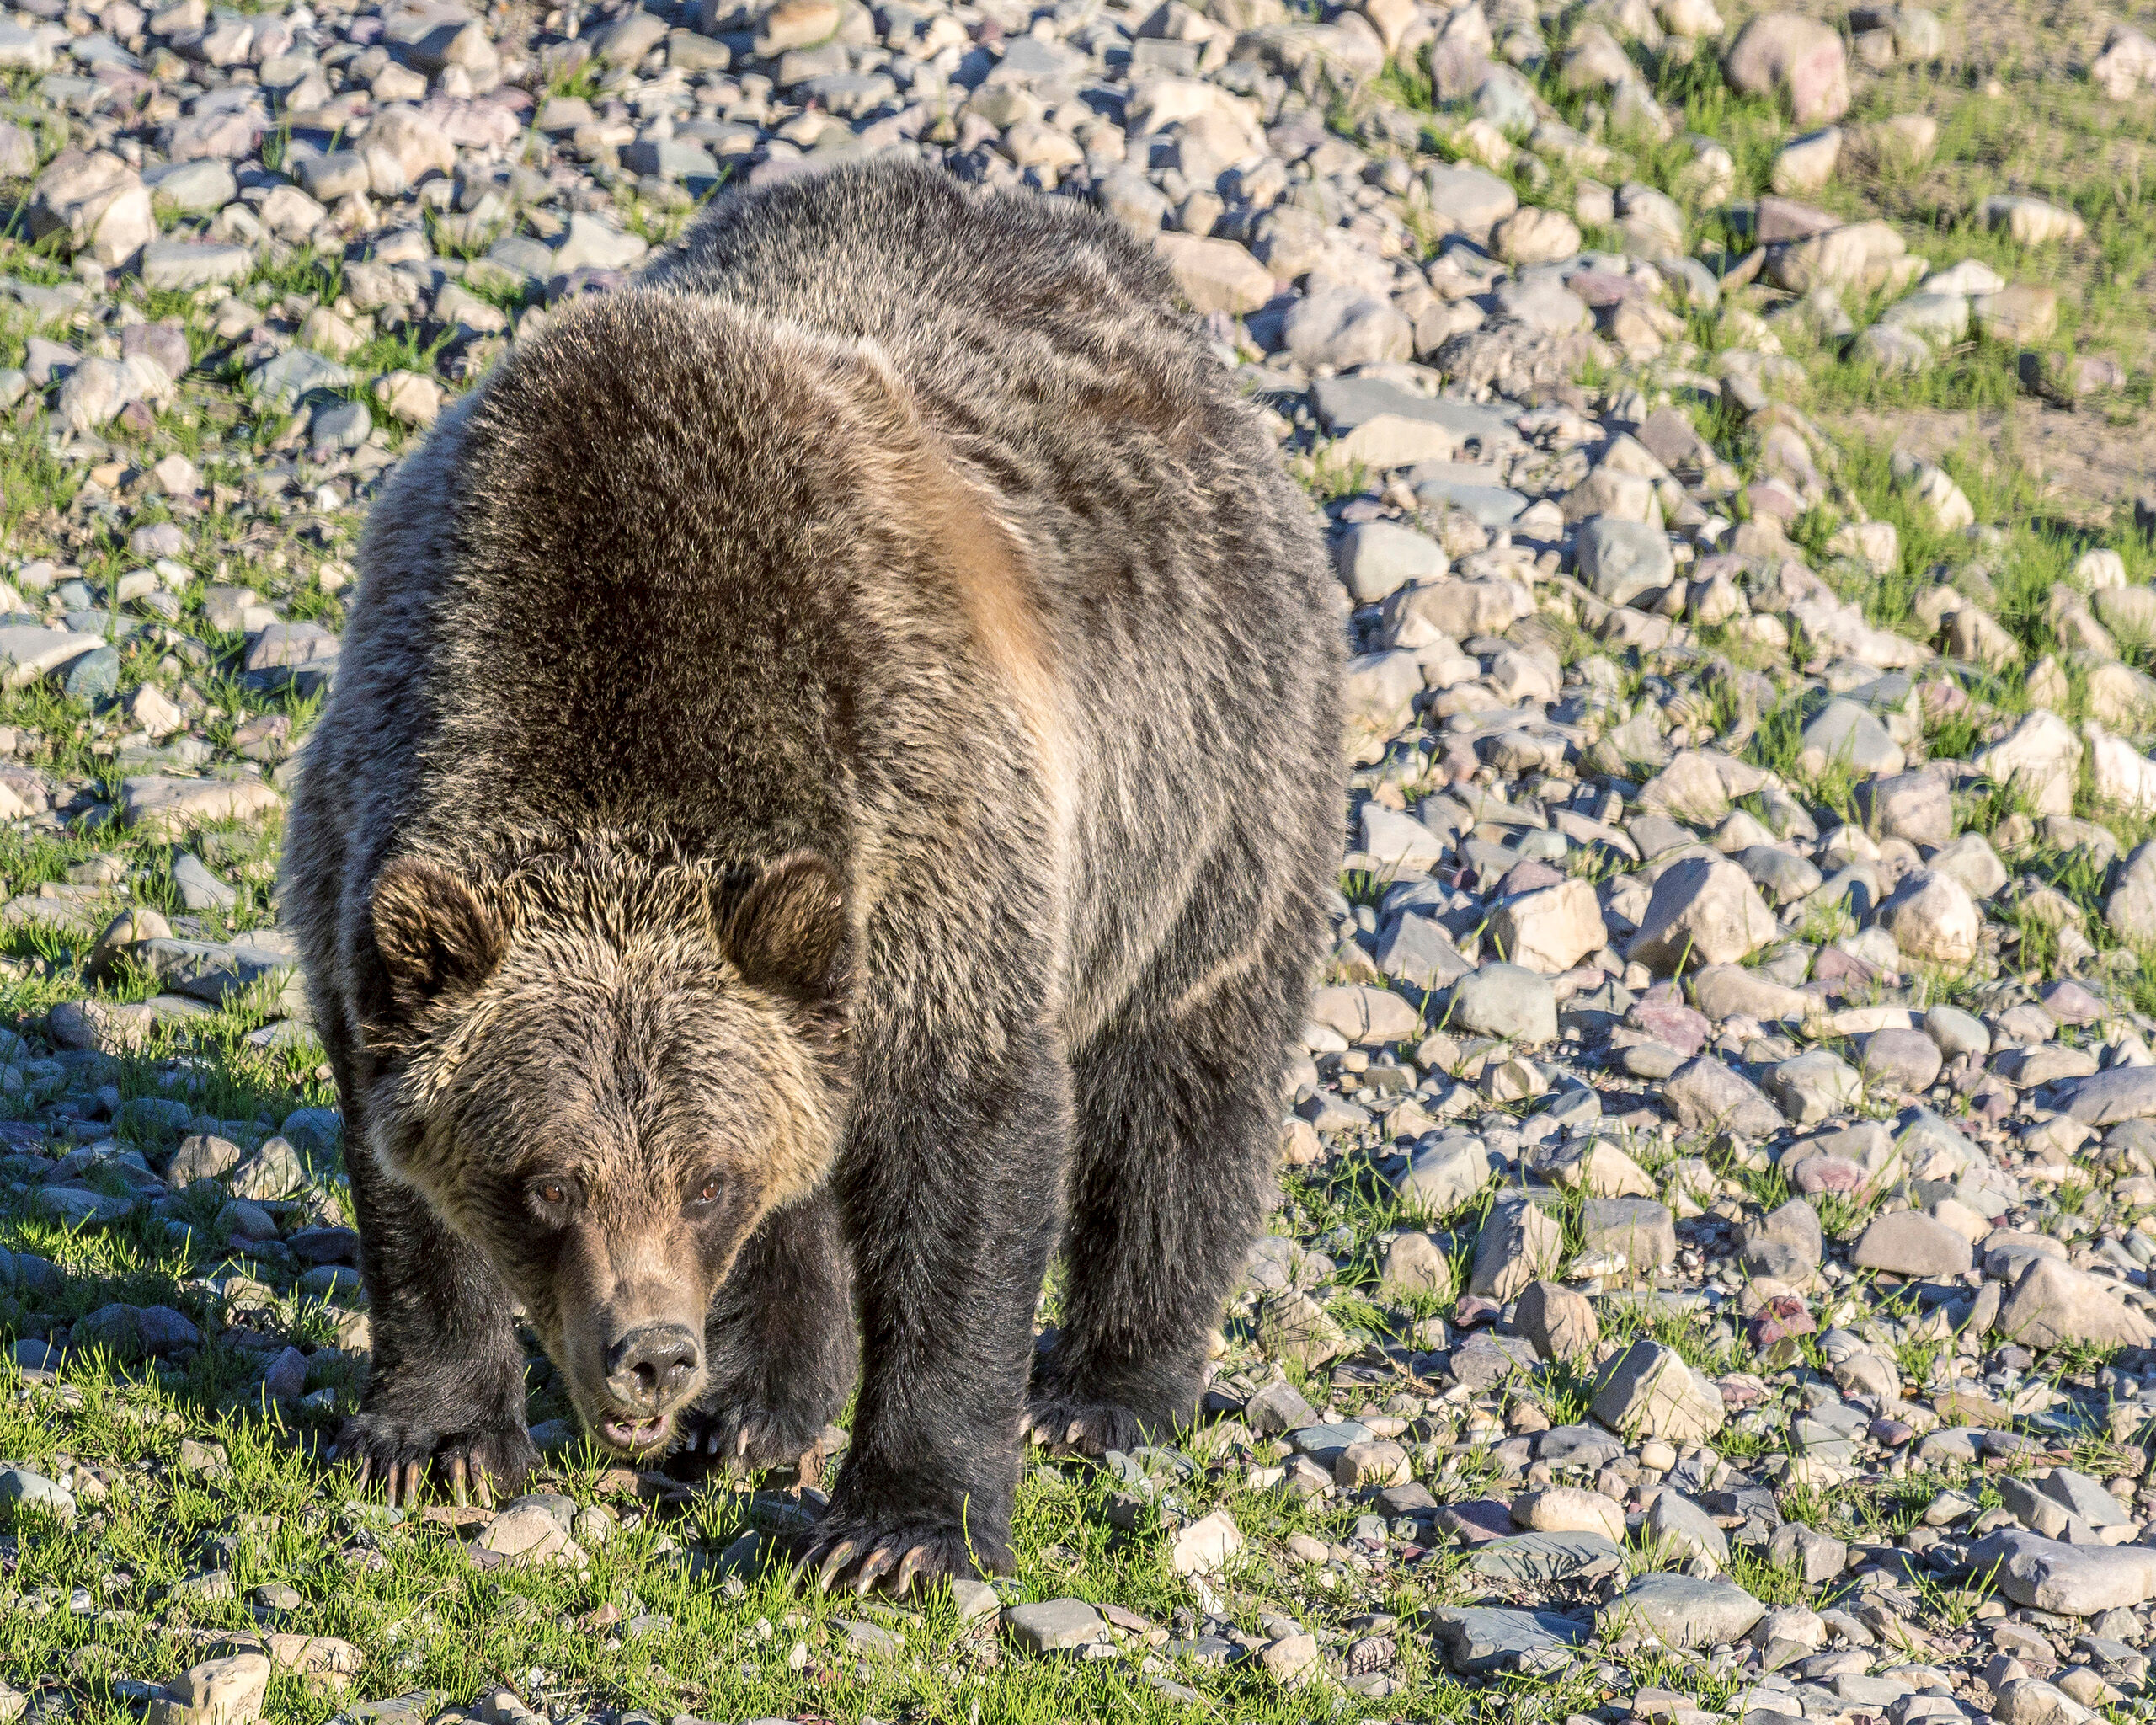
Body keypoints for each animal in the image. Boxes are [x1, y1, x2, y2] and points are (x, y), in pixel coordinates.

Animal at [282, 153, 1342, 1594]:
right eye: (548, 1180)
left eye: (706, 1179)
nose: (651, 1354)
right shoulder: (376, 826)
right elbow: (400, 1171)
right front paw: (439, 1433)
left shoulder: (926, 819)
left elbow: (969, 1153)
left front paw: (901, 1524)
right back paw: (757, 1405)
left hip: (1208, 774)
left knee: (1185, 1070)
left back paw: (1106, 1386)